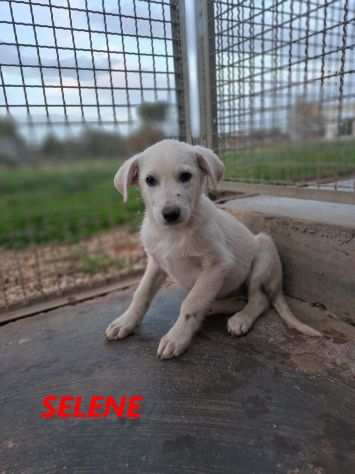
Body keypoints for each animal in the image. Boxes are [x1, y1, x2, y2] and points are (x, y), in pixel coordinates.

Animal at [106, 140, 322, 360]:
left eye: (185, 176)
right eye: (150, 180)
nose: (170, 213)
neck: (174, 234)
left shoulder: (217, 265)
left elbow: (191, 304)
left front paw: (176, 338)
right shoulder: (156, 263)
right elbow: (141, 294)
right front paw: (125, 322)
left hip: (263, 256)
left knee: (259, 300)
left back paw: (241, 317)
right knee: (233, 299)